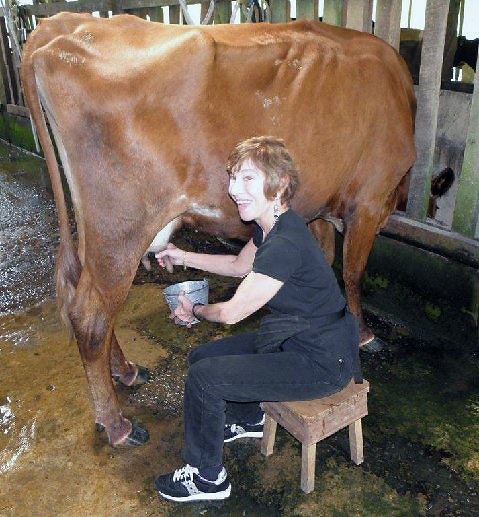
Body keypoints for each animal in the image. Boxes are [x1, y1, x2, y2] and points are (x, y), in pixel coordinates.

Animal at [21, 14, 416, 446]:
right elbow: (353, 272)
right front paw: (363, 334)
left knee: (92, 302)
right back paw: (117, 424)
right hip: (120, 229)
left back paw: (126, 372)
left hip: (96, 234)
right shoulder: (370, 200)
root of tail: (63, 25)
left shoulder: (318, 210)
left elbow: (326, 262)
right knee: (90, 315)